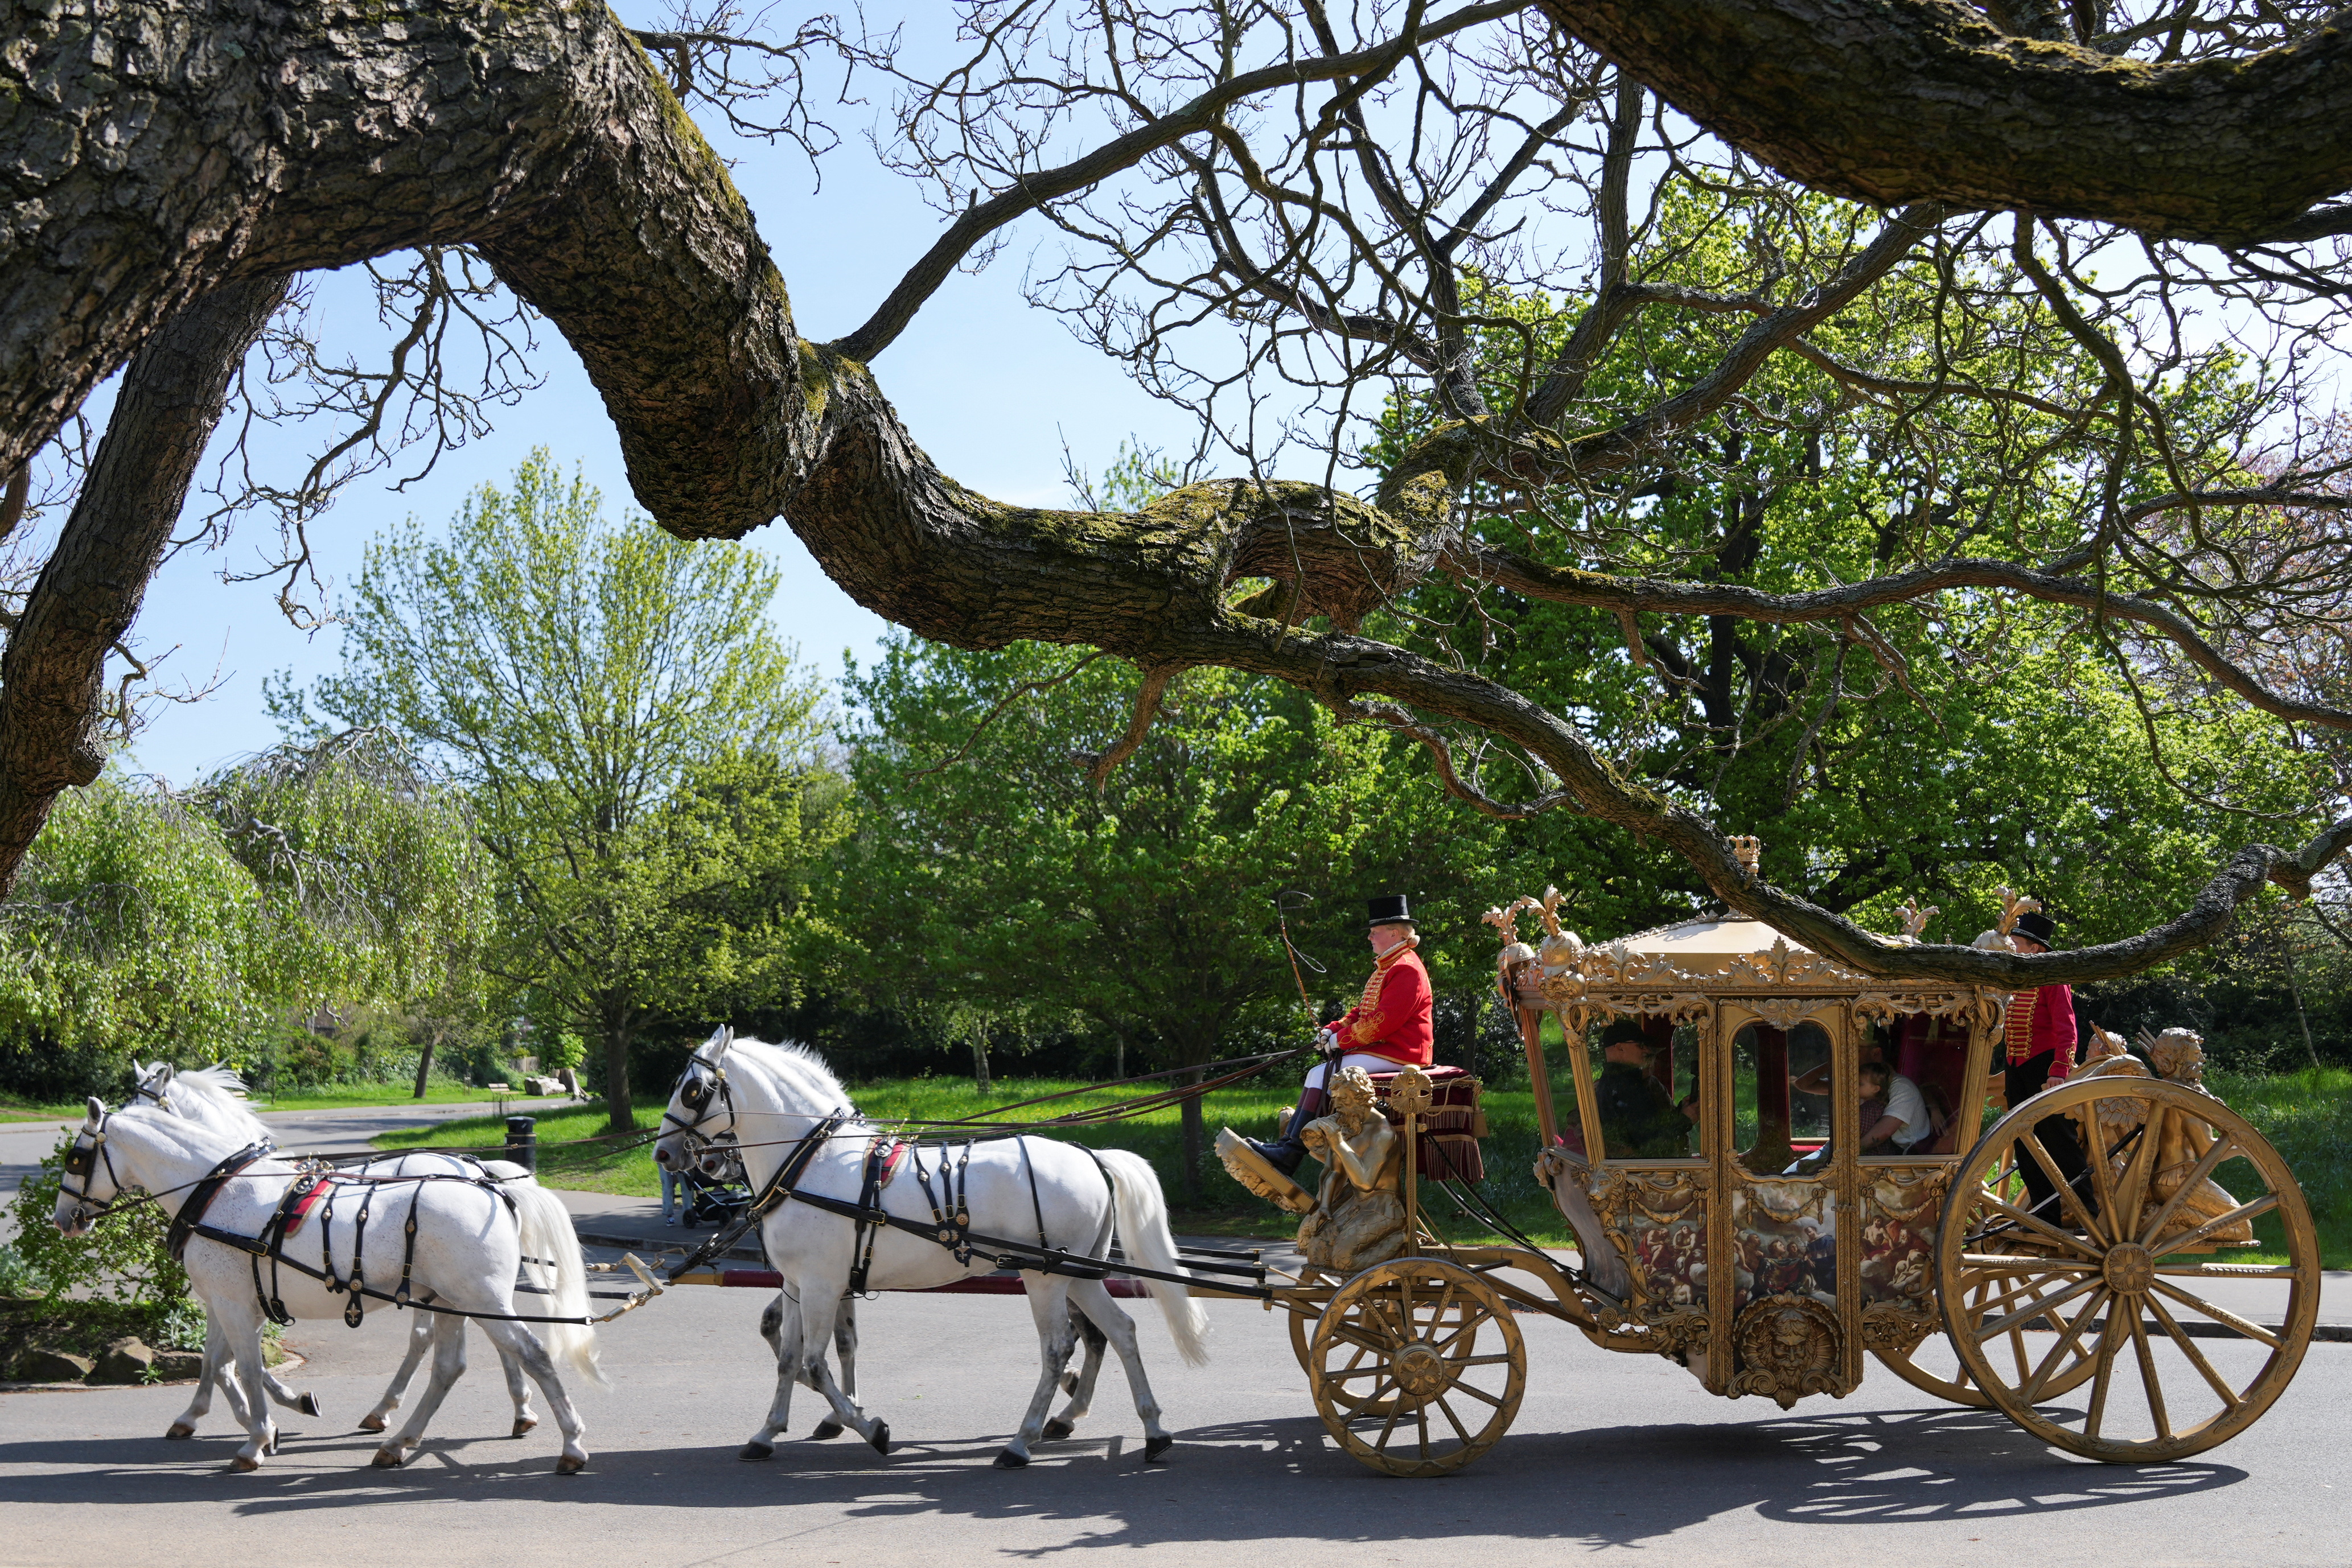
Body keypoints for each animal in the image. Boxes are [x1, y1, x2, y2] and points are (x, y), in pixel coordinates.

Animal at [59, 1100, 607, 1476]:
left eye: (76, 1156)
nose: (63, 1218)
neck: (218, 1189)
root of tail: (488, 1183)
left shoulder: (234, 1305)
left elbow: (243, 1369)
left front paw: (257, 1437)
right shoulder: (227, 1301)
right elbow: (218, 1364)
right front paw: (238, 1418)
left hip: (479, 1296)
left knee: (531, 1353)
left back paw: (572, 1442)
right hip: (452, 1299)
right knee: (450, 1366)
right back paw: (401, 1440)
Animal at [649, 1034, 1214, 1467]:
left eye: (693, 1089)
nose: (663, 1153)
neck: (813, 1162)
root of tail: (1090, 1154)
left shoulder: (823, 1285)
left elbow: (816, 1363)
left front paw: (871, 1428)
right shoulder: (796, 1284)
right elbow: (789, 1359)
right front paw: (768, 1432)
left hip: (1046, 1277)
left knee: (1060, 1347)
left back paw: (1022, 1440)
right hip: (1077, 1273)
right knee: (1120, 1331)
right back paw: (1153, 1431)